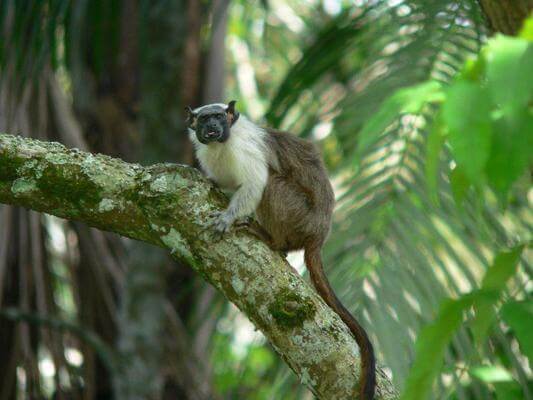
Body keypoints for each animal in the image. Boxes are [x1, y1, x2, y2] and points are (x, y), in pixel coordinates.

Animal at [186, 101, 374, 400]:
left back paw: (272, 240)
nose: (212, 128)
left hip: (298, 215)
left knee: (272, 184)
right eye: (204, 120)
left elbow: (254, 184)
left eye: (218, 117)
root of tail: (319, 233)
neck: (221, 145)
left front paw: (227, 219)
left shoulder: (244, 148)